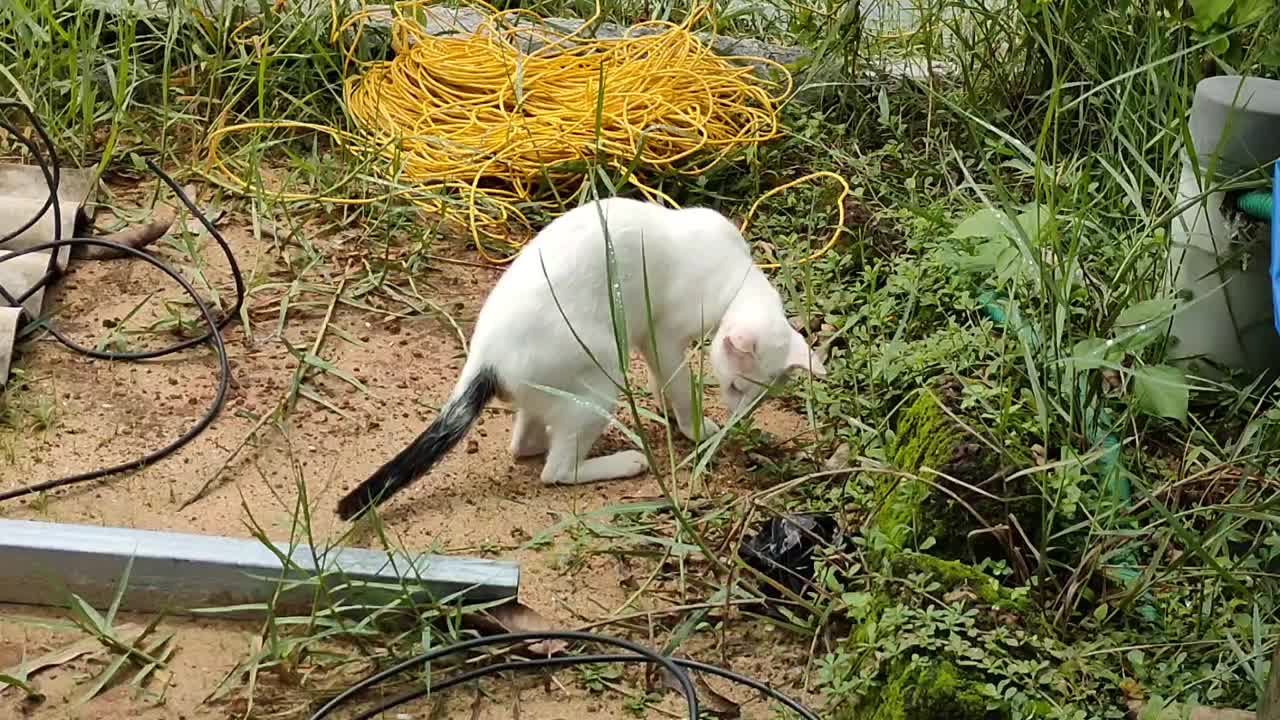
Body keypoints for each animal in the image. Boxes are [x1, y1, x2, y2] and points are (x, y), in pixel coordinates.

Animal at [335, 198, 824, 517]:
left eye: (757, 397)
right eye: (736, 387)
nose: (740, 416)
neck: (733, 274)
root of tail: (483, 361)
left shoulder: (648, 339)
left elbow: (663, 383)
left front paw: (669, 412)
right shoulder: (664, 337)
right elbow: (681, 387)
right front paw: (697, 430)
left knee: (527, 443)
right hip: (604, 376)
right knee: (554, 470)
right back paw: (627, 461)